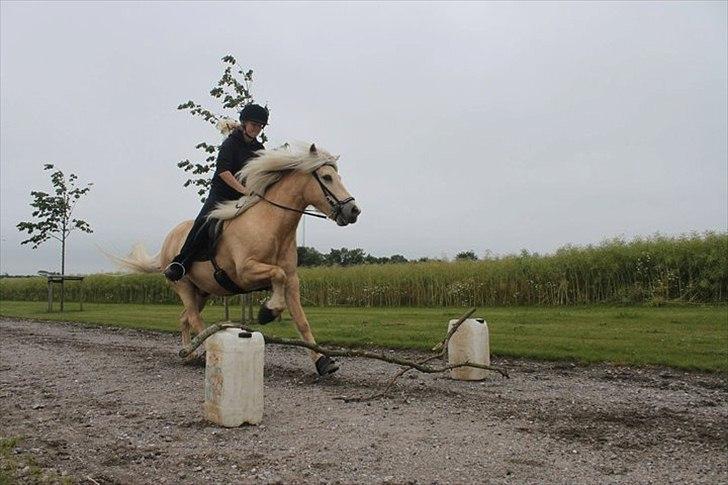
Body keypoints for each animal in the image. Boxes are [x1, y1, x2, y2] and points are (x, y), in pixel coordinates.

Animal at [116, 142, 362, 376]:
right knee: (195, 319)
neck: (270, 223)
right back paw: (204, 351)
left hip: (201, 292)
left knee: (185, 318)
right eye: (327, 177)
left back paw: (188, 353)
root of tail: (168, 240)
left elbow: (301, 320)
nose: (353, 210)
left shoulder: (292, 280)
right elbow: (277, 275)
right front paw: (268, 311)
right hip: (183, 285)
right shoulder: (246, 272)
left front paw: (324, 362)